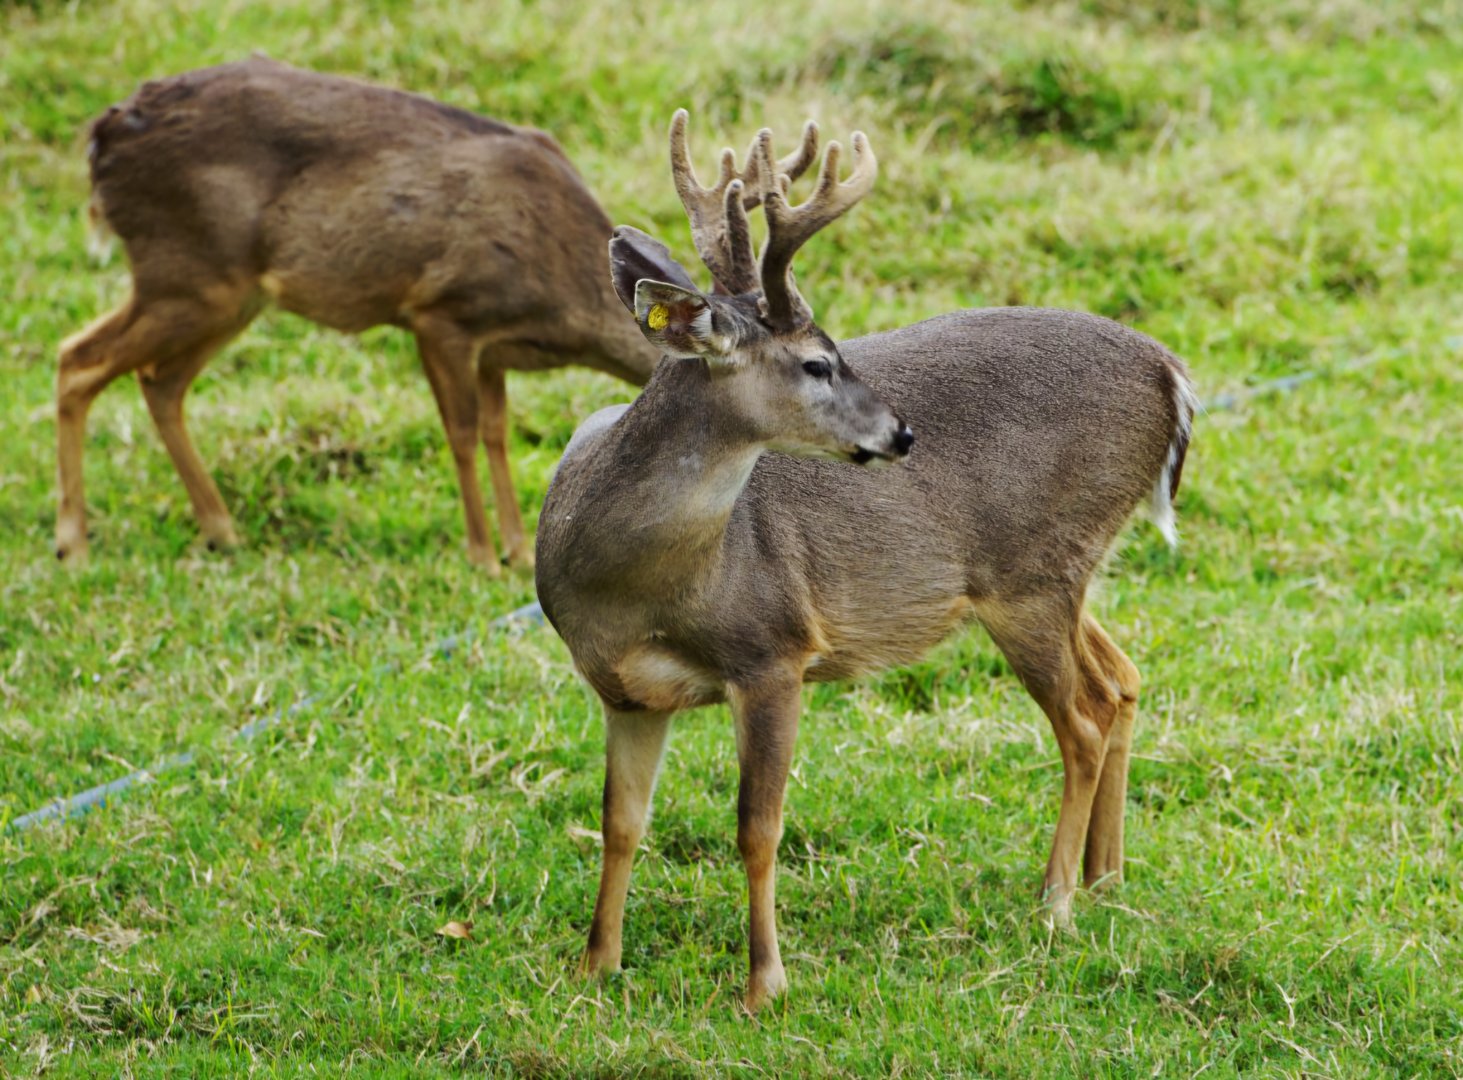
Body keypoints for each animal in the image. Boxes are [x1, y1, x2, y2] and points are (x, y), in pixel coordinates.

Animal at [55, 57, 819, 573]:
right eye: (801, 366)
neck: (560, 290)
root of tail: (102, 137)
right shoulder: (441, 313)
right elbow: (460, 433)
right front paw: (483, 553)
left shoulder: (497, 348)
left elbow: (497, 432)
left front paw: (516, 546)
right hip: (188, 270)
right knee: (78, 359)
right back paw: (74, 542)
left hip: (224, 294)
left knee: (157, 380)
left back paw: (220, 529)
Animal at [534, 109, 1197, 1012]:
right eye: (816, 361)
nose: (901, 432)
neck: (634, 590)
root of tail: (1170, 373)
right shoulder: (625, 690)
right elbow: (619, 822)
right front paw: (594, 967)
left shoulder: (773, 649)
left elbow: (757, 827)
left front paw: (763, 986)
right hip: (1057, 575)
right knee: (1121, 678)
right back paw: (1104, 877)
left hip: (1032, 575)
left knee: (1084, 718)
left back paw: (1055, 901)